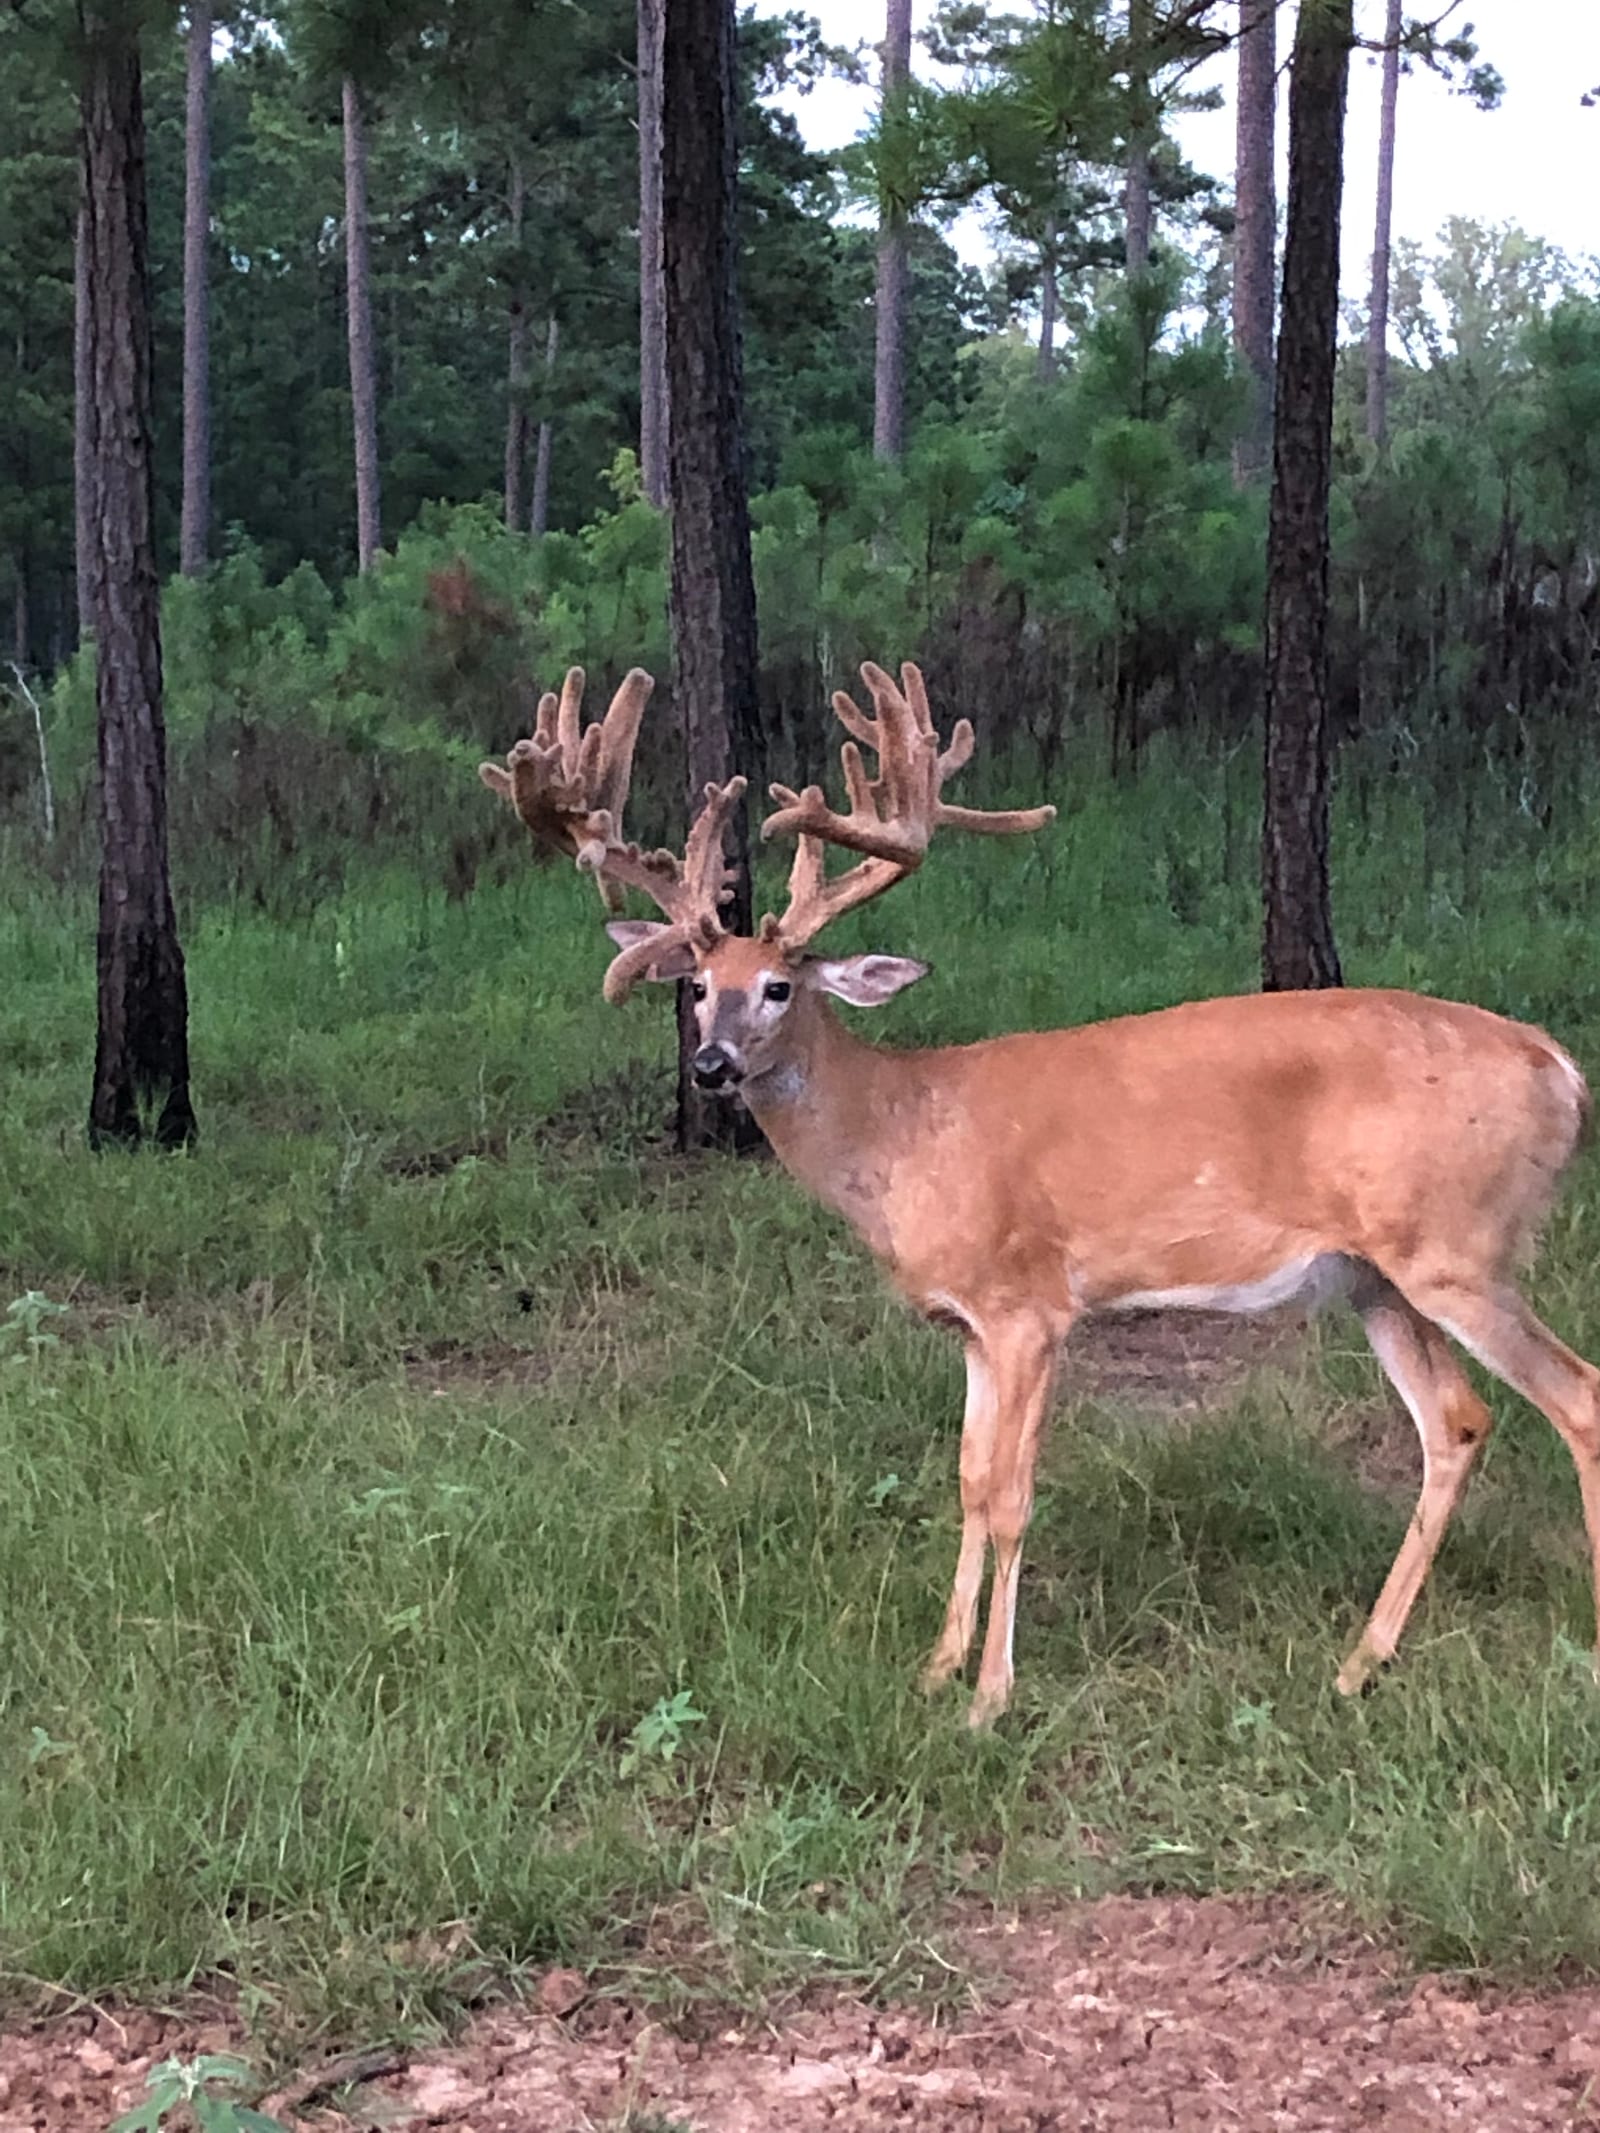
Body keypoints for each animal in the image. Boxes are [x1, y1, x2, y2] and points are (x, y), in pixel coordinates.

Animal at [481, 660, 1600, 1727]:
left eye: (779, 986)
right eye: (694, 986)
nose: (710, 1066)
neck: (904, 1131)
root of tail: (1558, 1067)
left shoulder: (1029, 1306)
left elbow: (1015, 1494)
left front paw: (990, 1697)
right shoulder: (970, 1326)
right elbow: (970, 1482)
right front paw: (935, 1671)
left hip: (1458, 1246)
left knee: (1576, 1394)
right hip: (1377, 1274)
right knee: (1456, 1423)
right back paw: (1358, 1664)